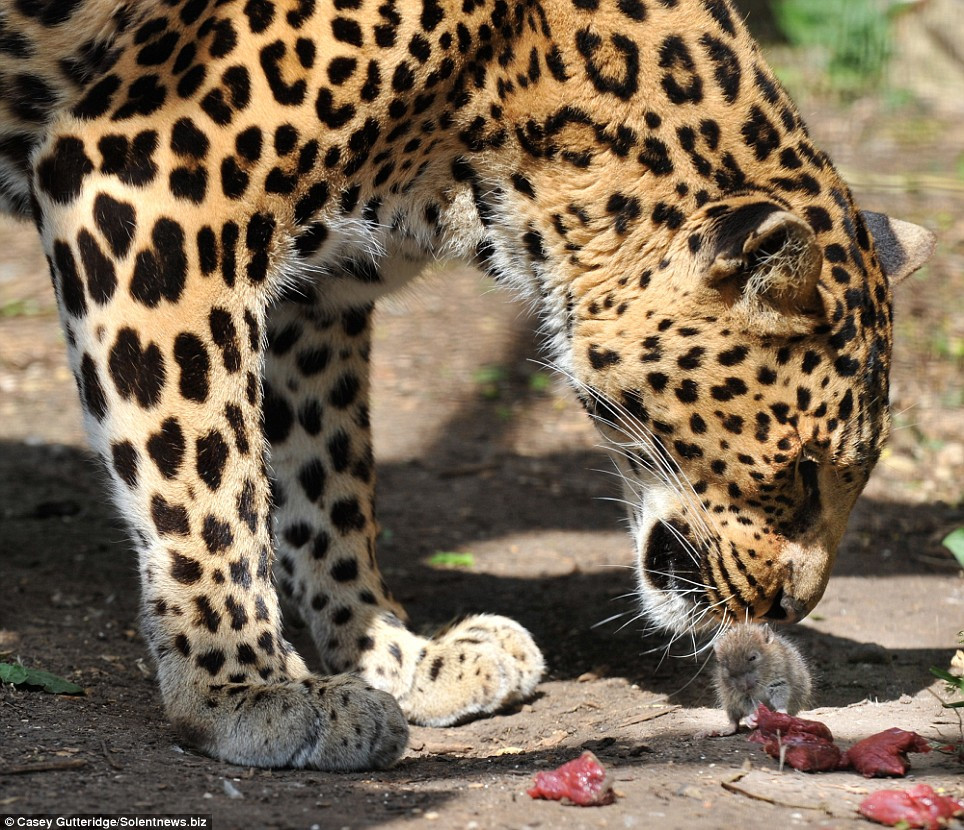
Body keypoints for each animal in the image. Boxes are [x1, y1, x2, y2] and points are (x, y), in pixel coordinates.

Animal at [0, 0, 933, 771]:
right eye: (805, 472)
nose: (792, 609)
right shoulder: (152, 187)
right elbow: (201, 473)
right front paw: (246, 689)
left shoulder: (314, 294)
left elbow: (325, 481)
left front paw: (397, 657)